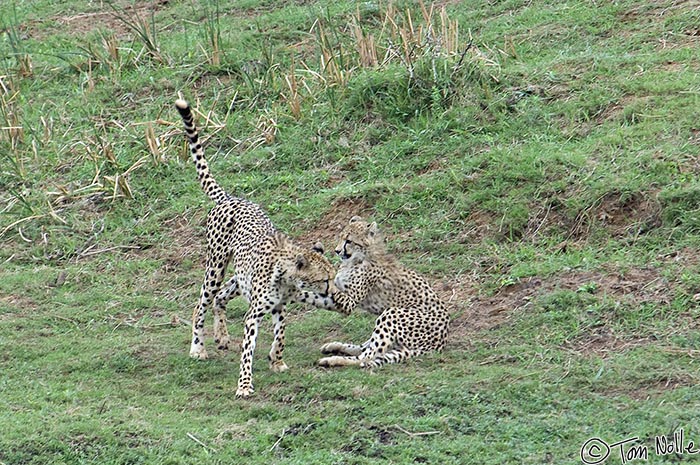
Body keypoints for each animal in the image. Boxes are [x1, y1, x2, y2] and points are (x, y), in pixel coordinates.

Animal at [174, 99, 334, 396]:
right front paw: (245, 385)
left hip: (239, 277)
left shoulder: (279, 308)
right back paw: (198, 347)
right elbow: (248, 350)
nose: (333, 293)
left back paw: (222, 336)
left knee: (221, 297)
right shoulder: (253, 315)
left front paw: (277, 361)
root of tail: (231, 197)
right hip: (215, 267)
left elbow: (281, 336)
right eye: (322, 280)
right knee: (202, 303)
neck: (287, 278)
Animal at [300, 216, 448, 368]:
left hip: (391, 313)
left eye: (349, 241)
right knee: (364, 347)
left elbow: (323, 293)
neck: (359, 257)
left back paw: (333, 360)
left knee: (367, 356)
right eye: (341, 237)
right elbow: (317, 297)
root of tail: (440, 343)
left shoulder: (349, 302)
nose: (337, 251)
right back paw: (334, 346)